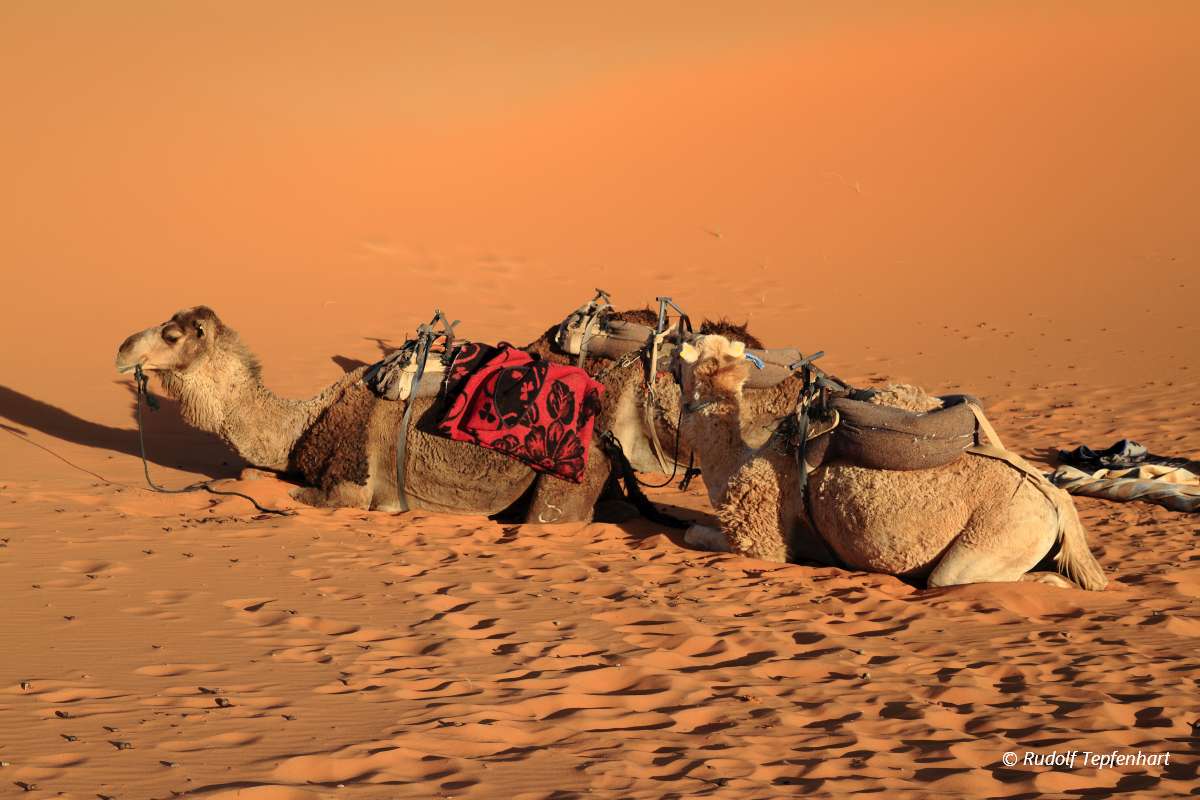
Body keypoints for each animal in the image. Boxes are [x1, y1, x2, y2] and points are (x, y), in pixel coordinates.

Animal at [674, 334, 1108, 590]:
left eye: (684, 353)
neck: (735, 454)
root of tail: (1055, 498)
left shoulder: (762, 539)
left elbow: (697, 534)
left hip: (1000, 534)